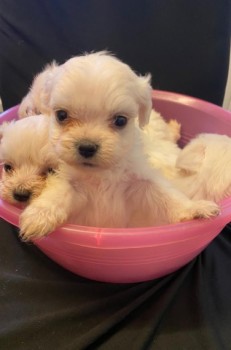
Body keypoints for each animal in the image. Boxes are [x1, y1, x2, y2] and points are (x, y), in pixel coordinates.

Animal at [19, 51, 219, 241]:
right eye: (61, 115)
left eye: (120, 120)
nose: (86, 147)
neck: (101, 174)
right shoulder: (68, 180)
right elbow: (57, 193)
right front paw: (39, 215)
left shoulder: (142, 180)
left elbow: (168, 196)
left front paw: (195, 208)